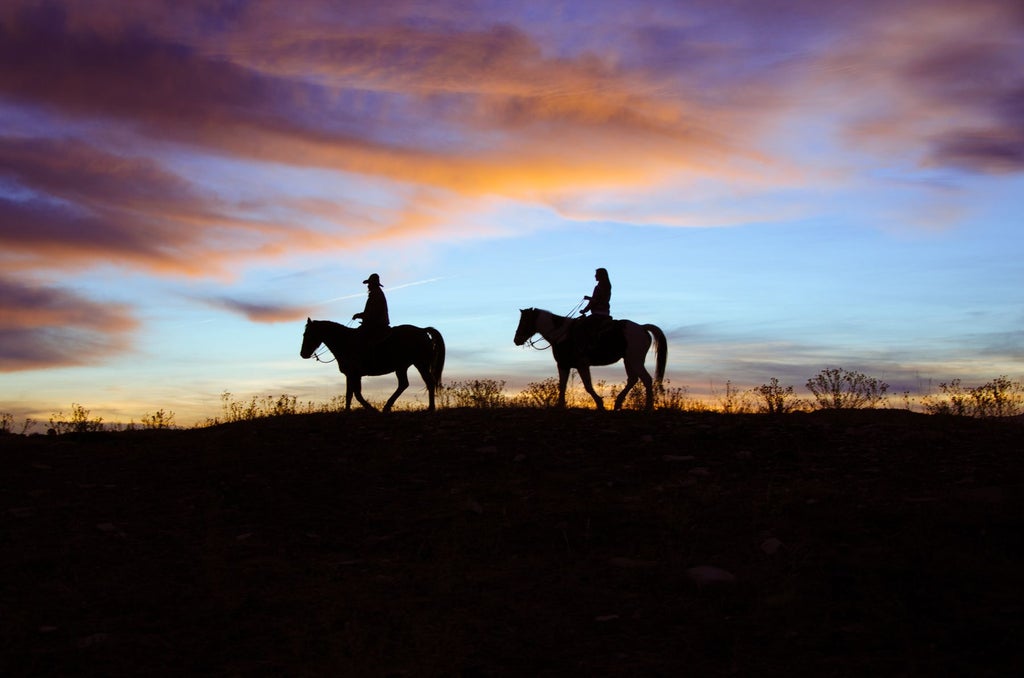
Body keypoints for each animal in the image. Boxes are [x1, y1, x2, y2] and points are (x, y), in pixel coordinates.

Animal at [299, 319, 444, 411]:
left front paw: (372, 409)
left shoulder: (354, 374)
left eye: (308, 334)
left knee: (427, 382)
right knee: (406, 384)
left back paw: (429, 408)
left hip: (420, 364)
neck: (346, 342)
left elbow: (356, 394)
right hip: (403, 367)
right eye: (304, 334)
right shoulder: (351, 375)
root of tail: (422, 330)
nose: (303, 354)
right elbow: (350, 394)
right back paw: (388, 407)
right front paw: (347, 411)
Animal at [516, 311, 667, 411]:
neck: (562, 334)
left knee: (646, 379)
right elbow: (562, 385)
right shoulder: (564, 365)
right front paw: (560, 405)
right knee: (633, 379)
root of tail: (642, 327)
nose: (516, 340)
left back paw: (648, 407)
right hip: (629, 360)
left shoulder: (581, 365)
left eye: (524, 321)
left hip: (635, 360)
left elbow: (588, 386)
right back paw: (618, 403)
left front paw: (600, 404)